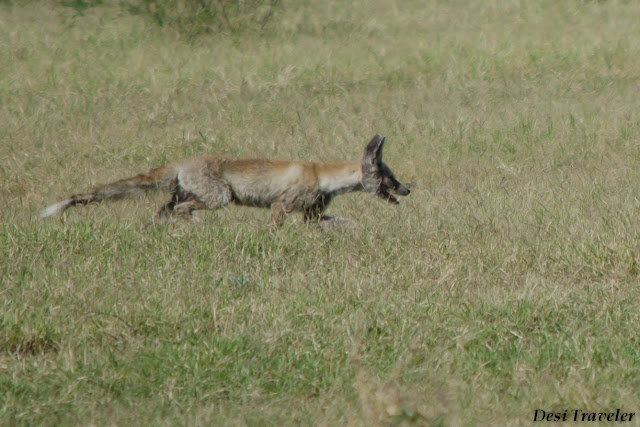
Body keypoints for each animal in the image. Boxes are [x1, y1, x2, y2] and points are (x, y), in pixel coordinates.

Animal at [39, 134, 410, 227]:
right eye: (390, 178)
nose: (408, 189)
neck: (323, 177)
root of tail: (183, 161)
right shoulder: (280, 207)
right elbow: (277, 229)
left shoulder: (312, 215)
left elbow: (344, 225)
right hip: (220, 198)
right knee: (184, 210)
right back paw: (198, 227)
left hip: (185, 196)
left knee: (163, 212)